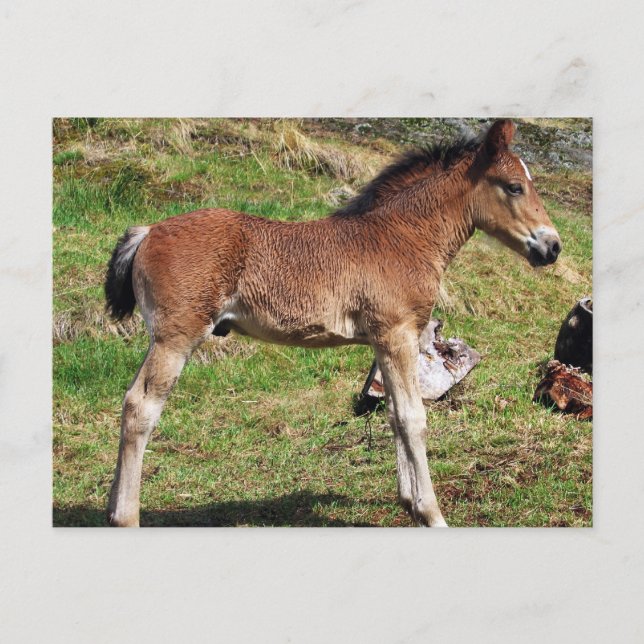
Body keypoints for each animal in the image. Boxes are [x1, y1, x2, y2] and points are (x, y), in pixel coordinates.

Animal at [104, 119, 561, 527]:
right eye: (514, 186)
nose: (553, 246)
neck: (403, 237)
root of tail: (147, 231)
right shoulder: (397, 334)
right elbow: (413, 417)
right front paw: (432, 513)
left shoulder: (384, 341)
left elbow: (392, 412)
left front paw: (410, 504)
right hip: (176, 338)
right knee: (141, 407)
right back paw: (126, 517)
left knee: (128, 400)